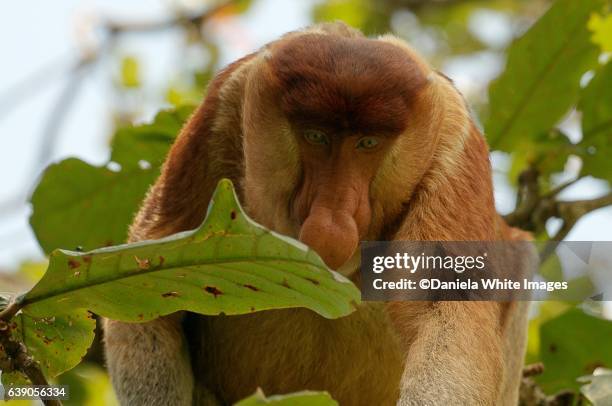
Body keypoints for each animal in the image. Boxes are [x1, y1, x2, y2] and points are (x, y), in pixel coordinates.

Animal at [104, 23, 532, 406]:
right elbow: (152, 280)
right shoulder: (224, 107)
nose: (333, 214)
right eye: (316, 136)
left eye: (367, 143)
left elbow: (443, 305)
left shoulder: (453, 140)